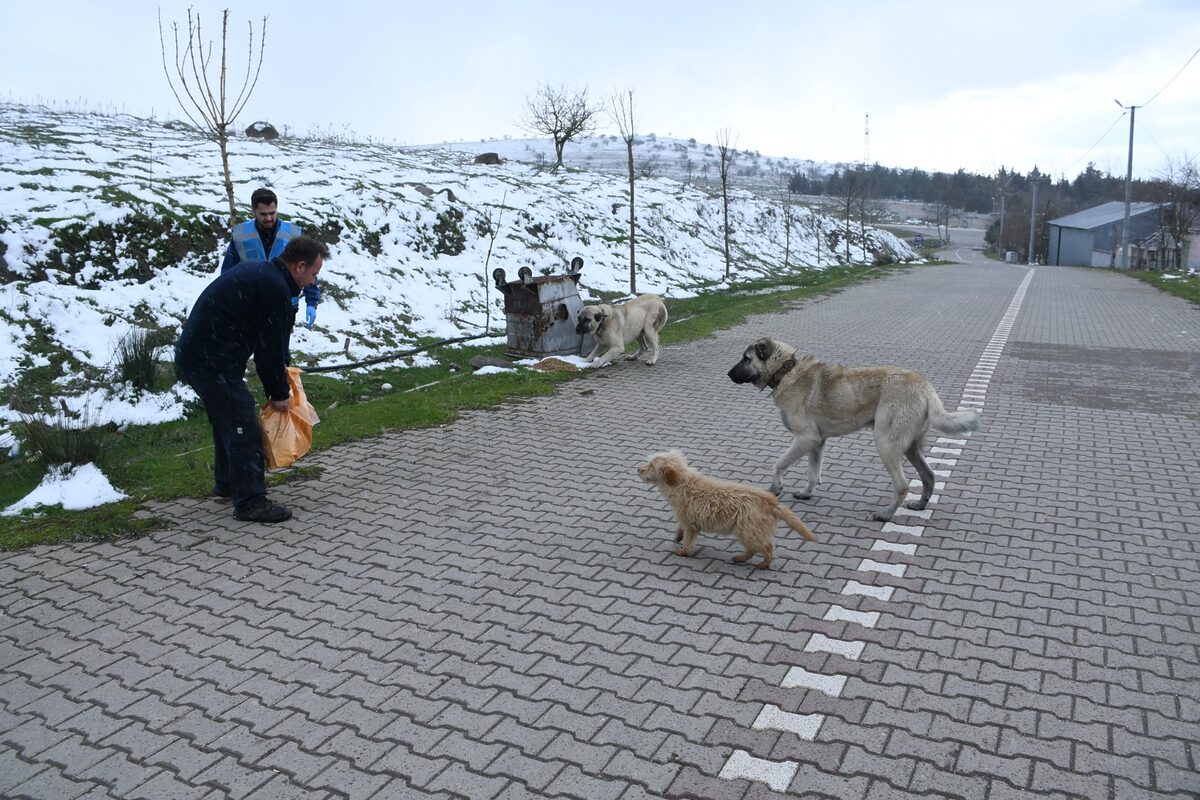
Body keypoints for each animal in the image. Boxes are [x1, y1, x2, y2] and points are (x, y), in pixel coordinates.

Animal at [638, 450, 816, 568]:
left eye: (651, 465)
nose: (638, 469)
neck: (683, 483)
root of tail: (771, 501)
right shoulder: (686, 519)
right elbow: (681, 529)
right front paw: (677, 536)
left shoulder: (691, 524)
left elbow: (688, 539)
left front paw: (684, 551)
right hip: (747, 531)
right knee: (754, 549)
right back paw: (741, 558)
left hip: (748, 530)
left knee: (766, 547)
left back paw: (763, 563)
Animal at [724, 340, 979, 522]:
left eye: (746, 358)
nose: (728, 374)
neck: (786, 371)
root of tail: (925, 387)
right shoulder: (817, 443)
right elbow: (813, 473)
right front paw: (807, 493)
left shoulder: (805, 439)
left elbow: (779, 464)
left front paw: (775, 487)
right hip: (911, 448)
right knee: (929, 476)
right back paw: (920, 505)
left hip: (886, 444)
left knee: (902, 485)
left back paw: (885, 515)